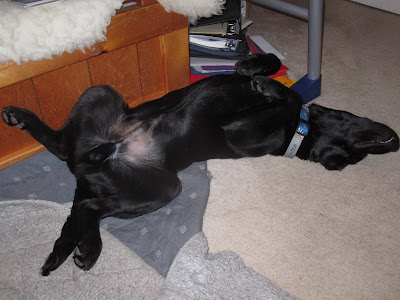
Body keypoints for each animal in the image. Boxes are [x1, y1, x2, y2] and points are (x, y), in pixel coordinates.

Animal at [1, 53, 398, 274]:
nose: (392, 138)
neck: (298, 129)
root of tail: (85, 169)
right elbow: (276, 71)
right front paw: (254, 68)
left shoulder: (243, 132)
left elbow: (290, 95)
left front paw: (267, 84)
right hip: (103, 93)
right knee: (63, 148)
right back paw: (22, 117)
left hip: (164, 186)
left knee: (87, 203)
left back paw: (91, 248)